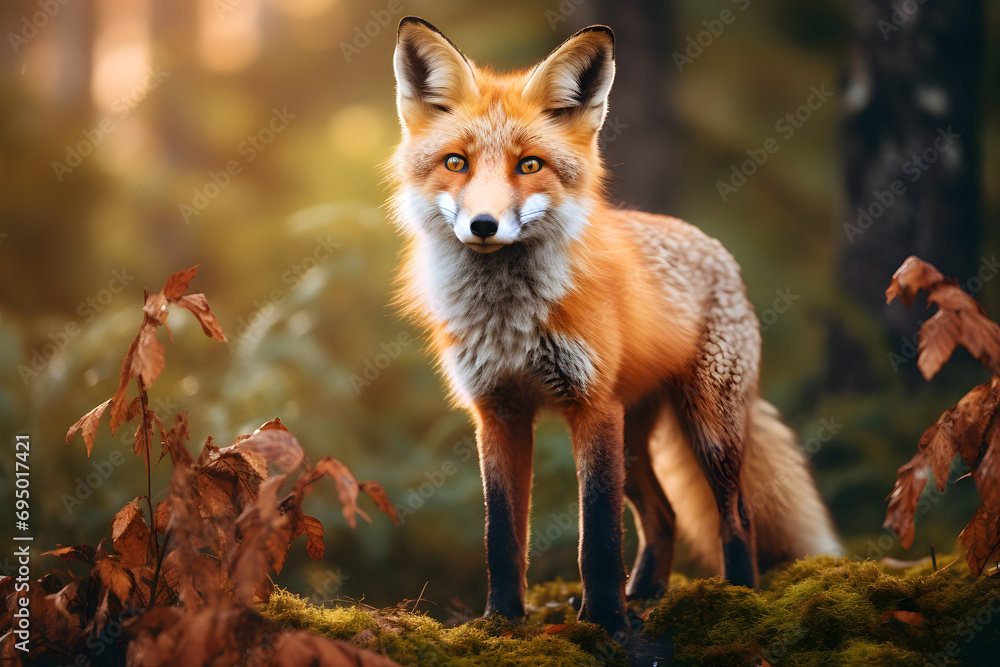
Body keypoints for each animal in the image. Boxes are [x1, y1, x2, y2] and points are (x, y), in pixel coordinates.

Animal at [387, 17, 842, 638]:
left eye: (529, 165)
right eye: (456, 163)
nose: (483, 225)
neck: (508, 317)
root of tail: (715, 247)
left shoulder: (591, 405)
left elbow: (598, 537)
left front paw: (602, 621)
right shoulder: (499, 412)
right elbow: (501, 537)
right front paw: (500, 622)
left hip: (705, 428)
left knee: (738, 516)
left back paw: (737, 598)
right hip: (633, 442)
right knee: (664, 518)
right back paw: (645, 594)